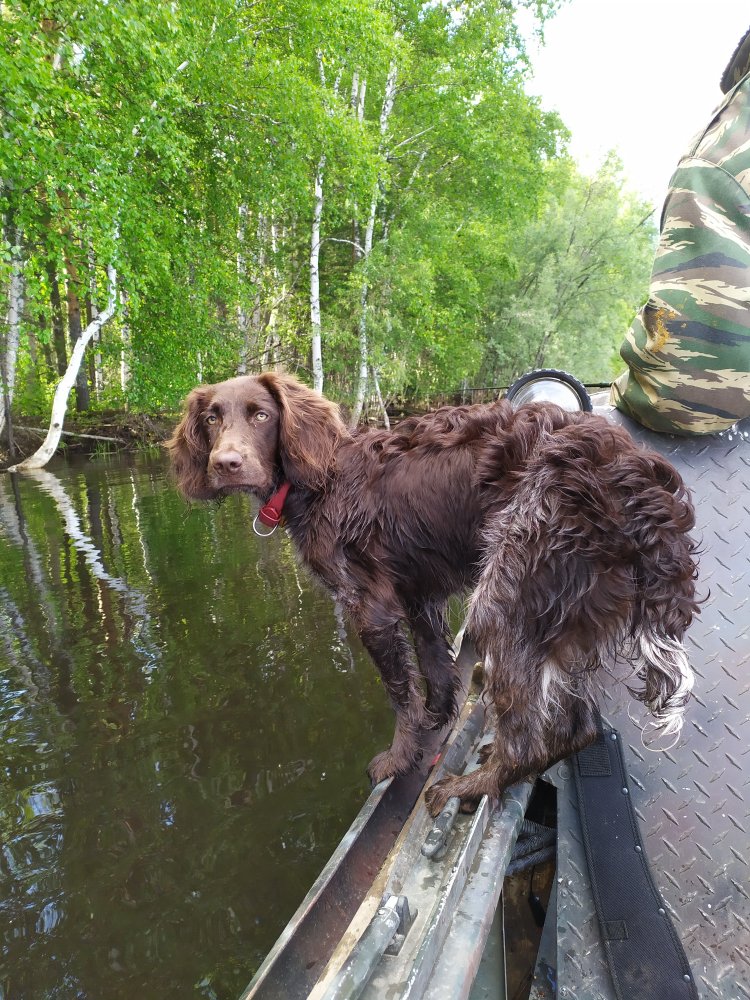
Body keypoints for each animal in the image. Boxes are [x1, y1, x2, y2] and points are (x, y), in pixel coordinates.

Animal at [167, 372, 699, 816]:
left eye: (261, 414)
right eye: (212, 418)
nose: (226, 463)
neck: (319, 481)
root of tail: (646, 488)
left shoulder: (372, 608)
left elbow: (400, 693)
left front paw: (398, 757)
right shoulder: (419, 597)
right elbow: (435, 670)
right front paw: (434, 725)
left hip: (504, 597)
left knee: (533, 737)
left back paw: (472, 786)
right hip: (560, 620)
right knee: (579, 726)